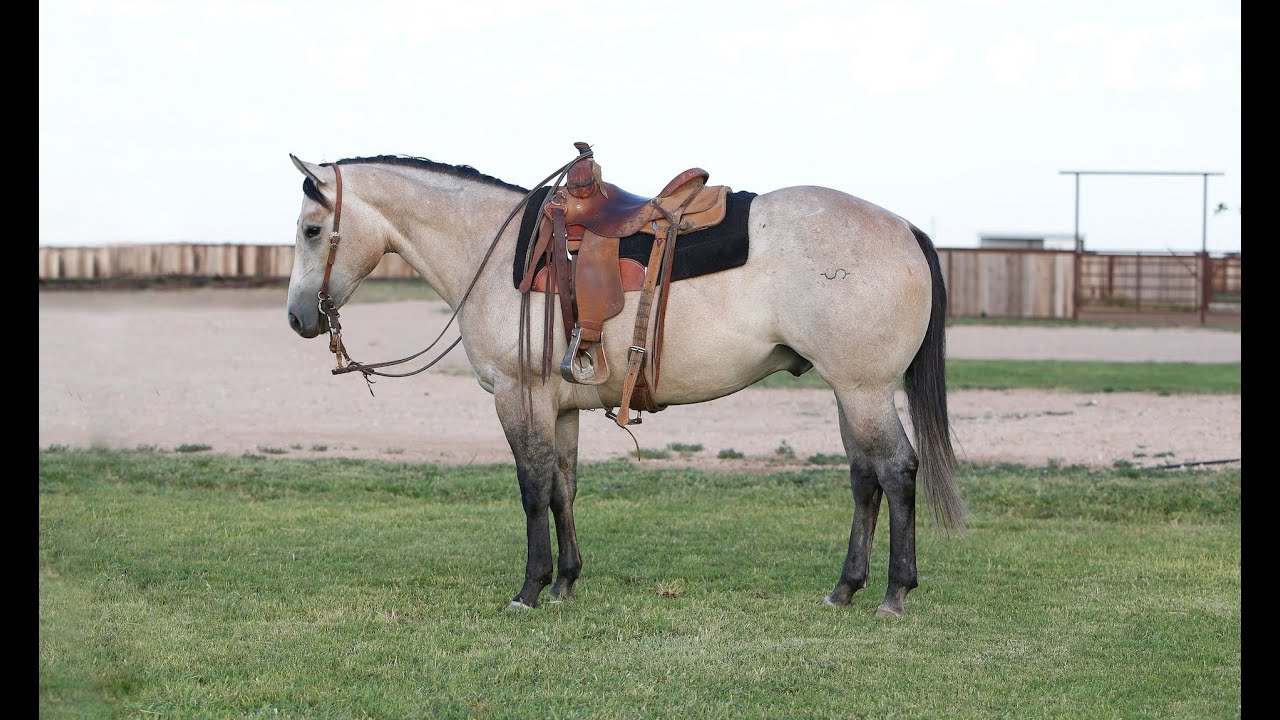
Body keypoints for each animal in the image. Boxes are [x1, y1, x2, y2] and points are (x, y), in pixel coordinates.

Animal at [285, 148, 967, 617]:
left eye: (312, 230)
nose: (297, 318)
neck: (497, 251)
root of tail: (904, 228)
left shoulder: (518, 396)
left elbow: (532, 489)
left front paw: (529, 589)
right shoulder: (559, 406)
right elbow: (563, 488)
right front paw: (565, 581)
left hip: (863, 389)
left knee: (896, 470)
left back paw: (894, 593)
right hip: (849, 392)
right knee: (864, 478)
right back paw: (845, 588)